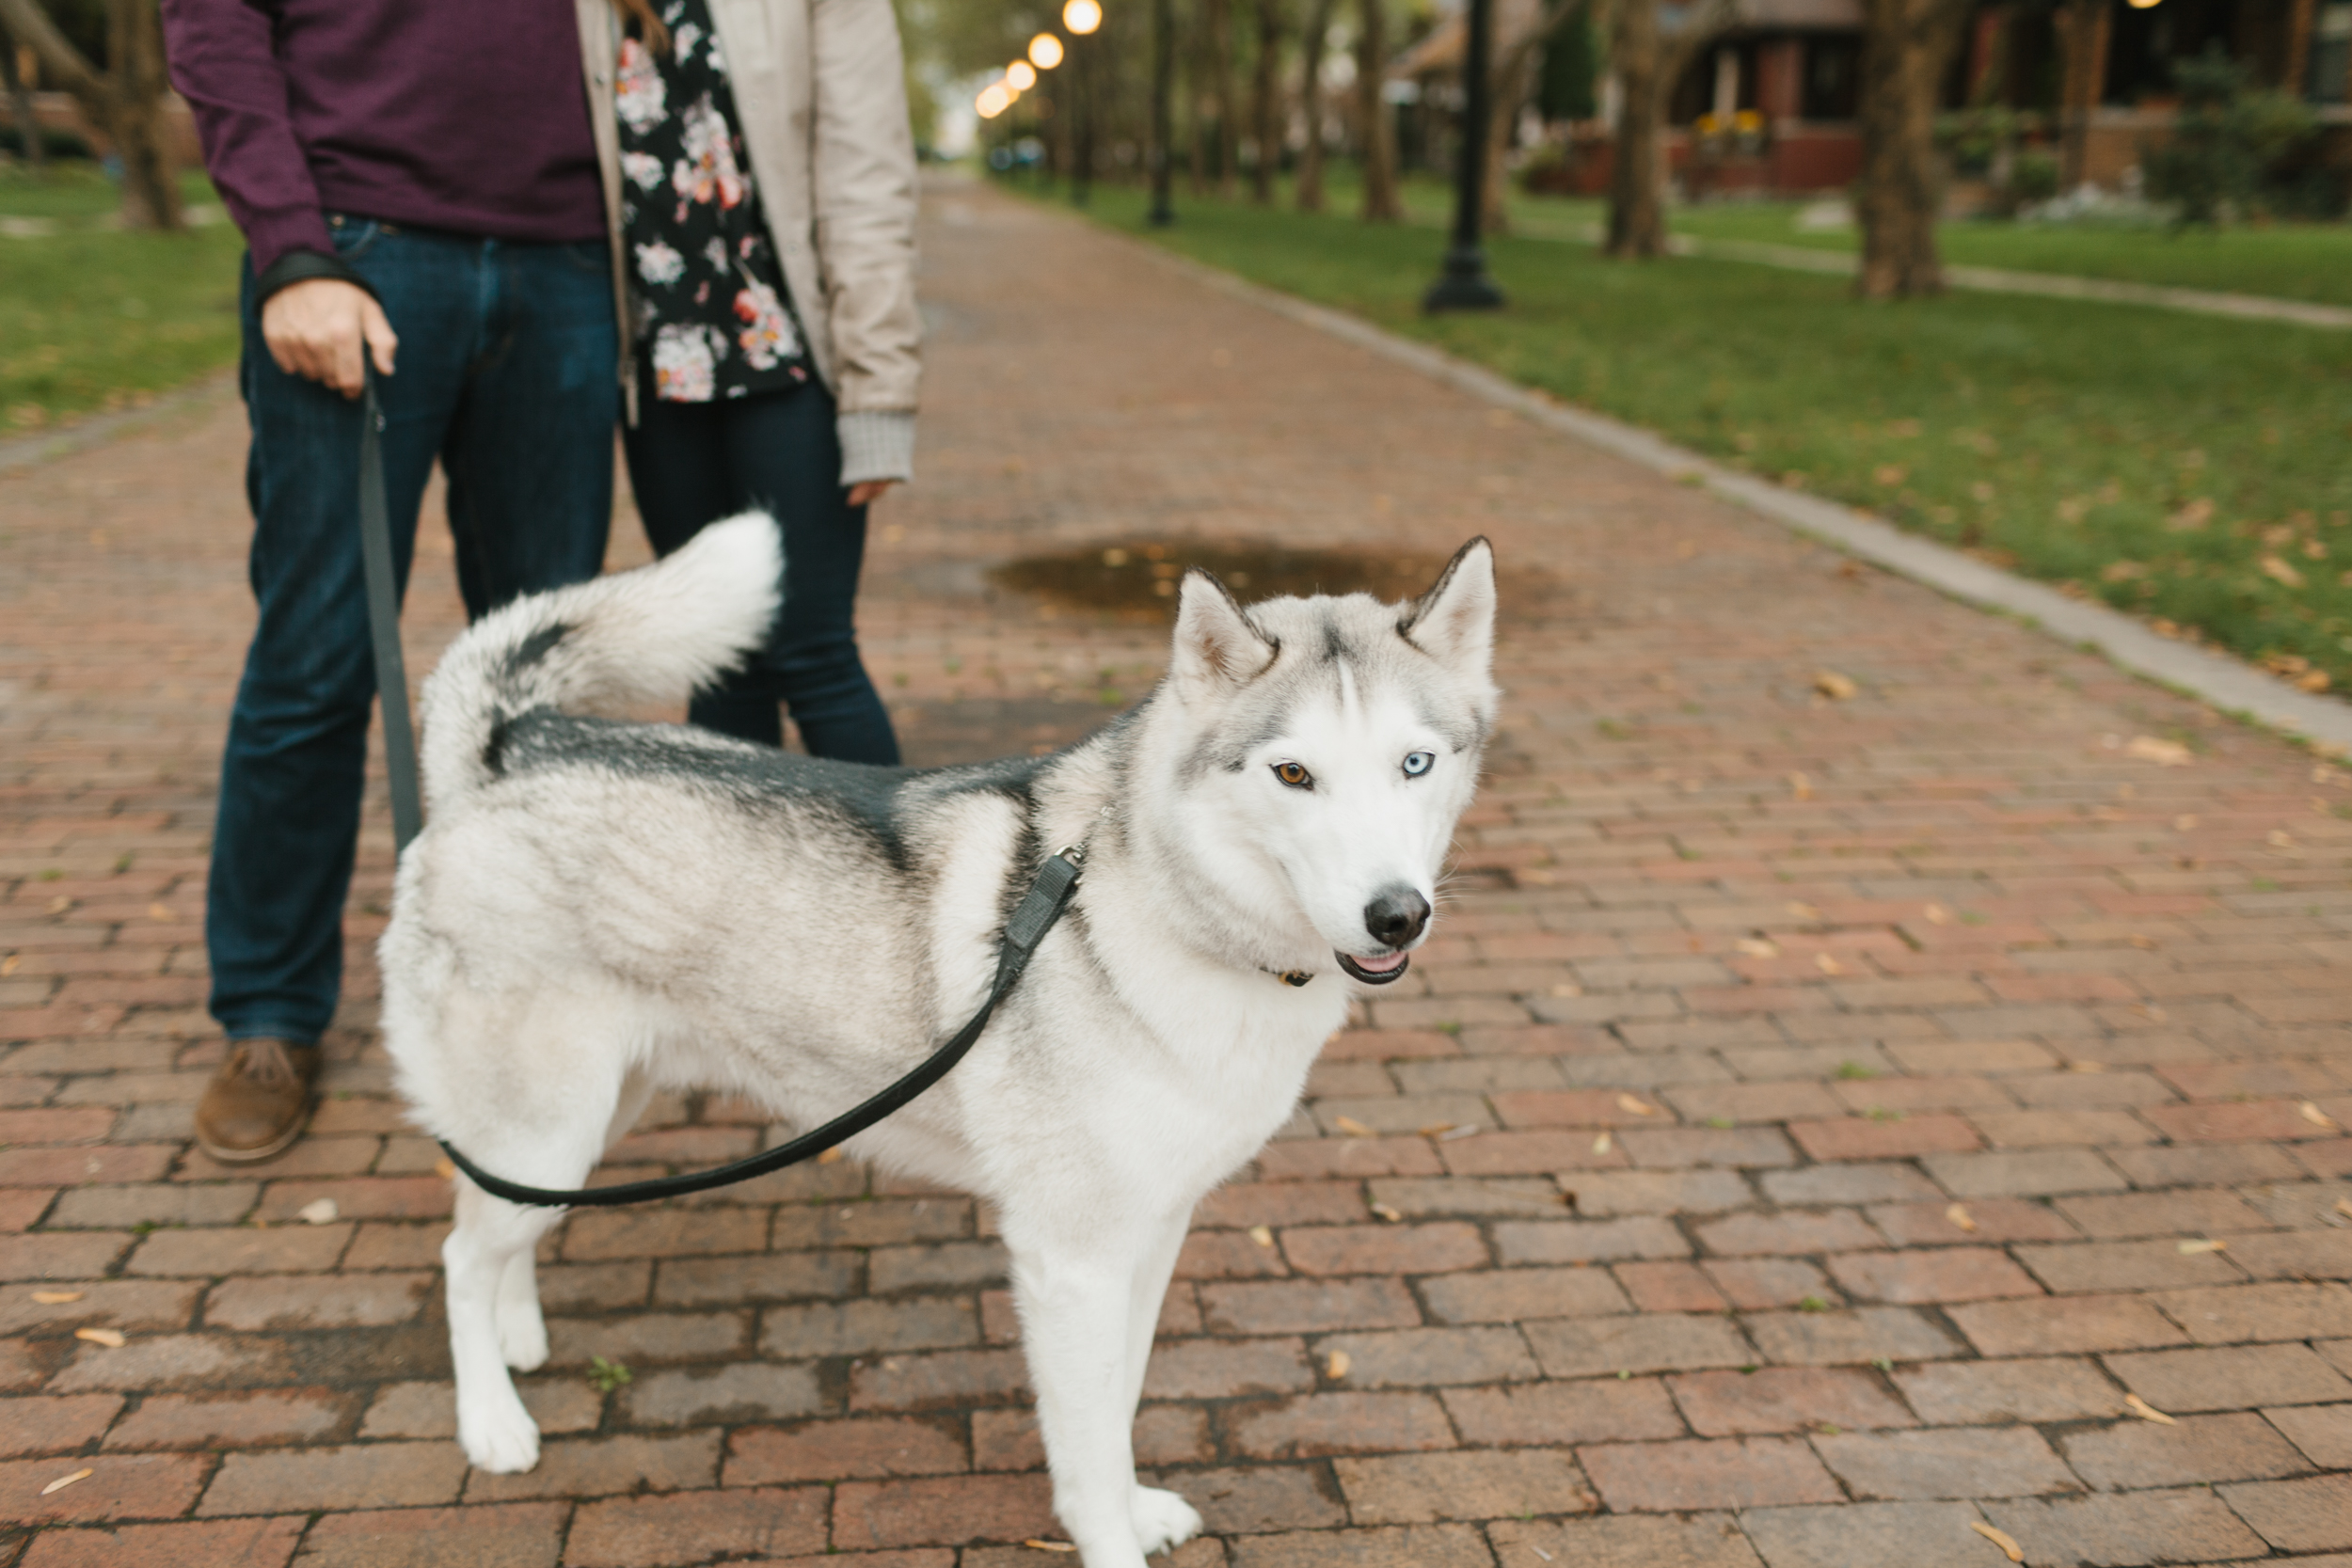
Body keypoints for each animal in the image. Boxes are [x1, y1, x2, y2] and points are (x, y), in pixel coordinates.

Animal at [378, 510, 1496, 1560]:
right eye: (1294, 773)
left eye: (1414, 763)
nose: (1397, 916)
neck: (1166, 911)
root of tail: (508, 750)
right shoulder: (1070, 1258)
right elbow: (1089, 1444)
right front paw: (1112, 1536)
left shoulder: (1150, 1232)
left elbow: (1124, 1398)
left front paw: (1137, 1508)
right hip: (553, 1124)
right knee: (460, 1251)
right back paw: (491, 1419)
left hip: (593, 1116)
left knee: (503, 1221)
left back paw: (520, 1332)